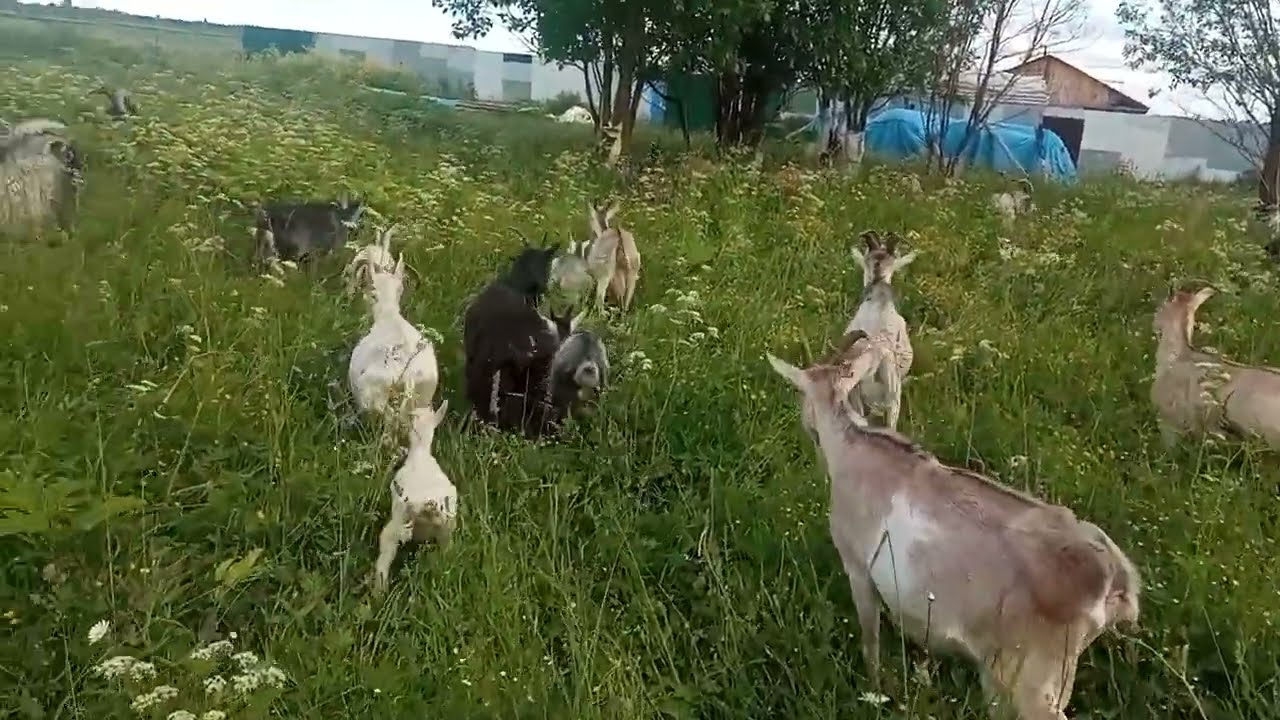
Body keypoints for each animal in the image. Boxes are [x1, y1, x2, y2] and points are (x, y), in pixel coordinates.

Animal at [373, 400, 454, 592]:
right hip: (446, 528)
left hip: (398, 521)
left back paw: (379, 592)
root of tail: (426, 506)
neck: (421, 450)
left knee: (385, 551)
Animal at [767, 330, 1141, 720]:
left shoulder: (857, 567)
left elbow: (870, 639)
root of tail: (1116, 579)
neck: (853, 446)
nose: (808, 428)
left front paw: (873, 685)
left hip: (1029, 680)